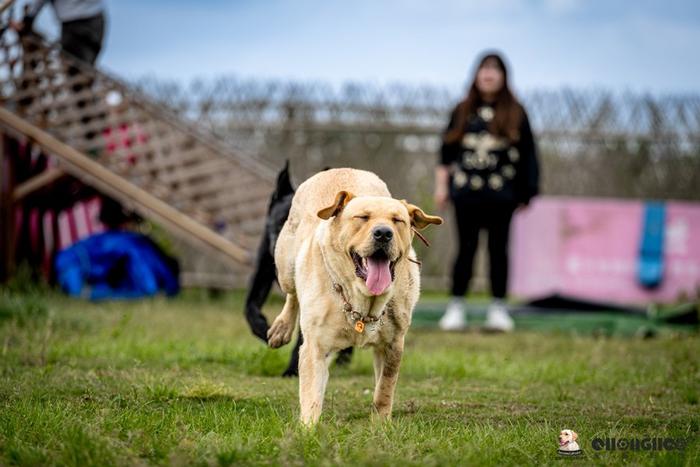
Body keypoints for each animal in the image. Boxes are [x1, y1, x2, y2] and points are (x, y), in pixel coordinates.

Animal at [246, 163, 352, 378]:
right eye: (282, 222)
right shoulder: (261, 274)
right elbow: (249, 307)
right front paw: (263, 328)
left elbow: (304, 339)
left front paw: (293, 369)